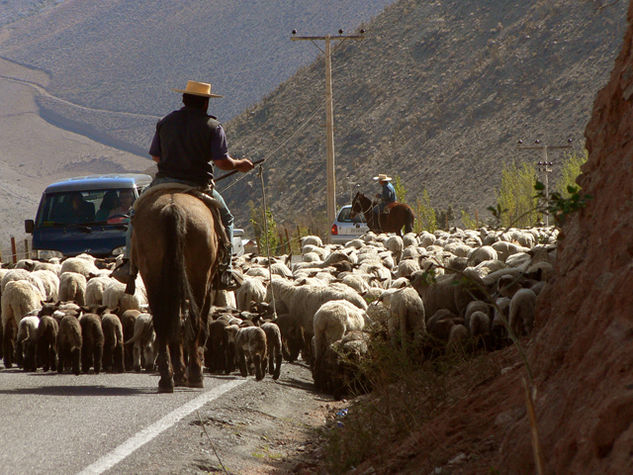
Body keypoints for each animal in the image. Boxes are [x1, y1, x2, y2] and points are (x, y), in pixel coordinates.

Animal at [130, 190, 221, 394]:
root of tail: (173, 208)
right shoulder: (209, 286)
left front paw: (179, 374)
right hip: (199, 277)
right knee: (196, 321)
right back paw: (195, 375)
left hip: (153, 276)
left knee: (163, 322)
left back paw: (166, 379)